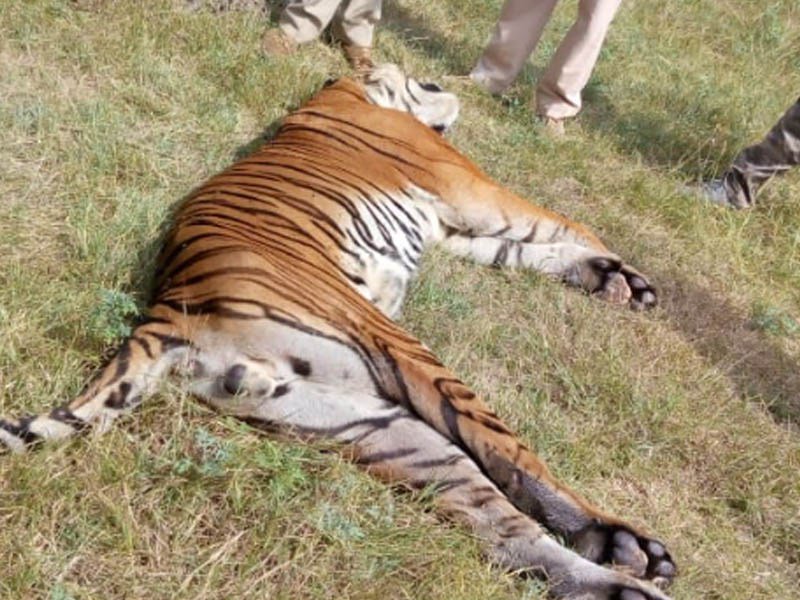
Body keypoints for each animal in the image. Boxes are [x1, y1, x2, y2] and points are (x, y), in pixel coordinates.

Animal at [0, 64, 674, 599]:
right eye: (424, 83)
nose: (445, 87)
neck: (345, 89)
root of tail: (167, 313)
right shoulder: (465, 186)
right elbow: (563, 223)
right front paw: (622, 271)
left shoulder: (451, 229)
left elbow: (528, 250)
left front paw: (612, 280)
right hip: (400, 352)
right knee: (512, 460)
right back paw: (627, 545)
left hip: (374, 426)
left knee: (504, 528)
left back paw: (624, 583)